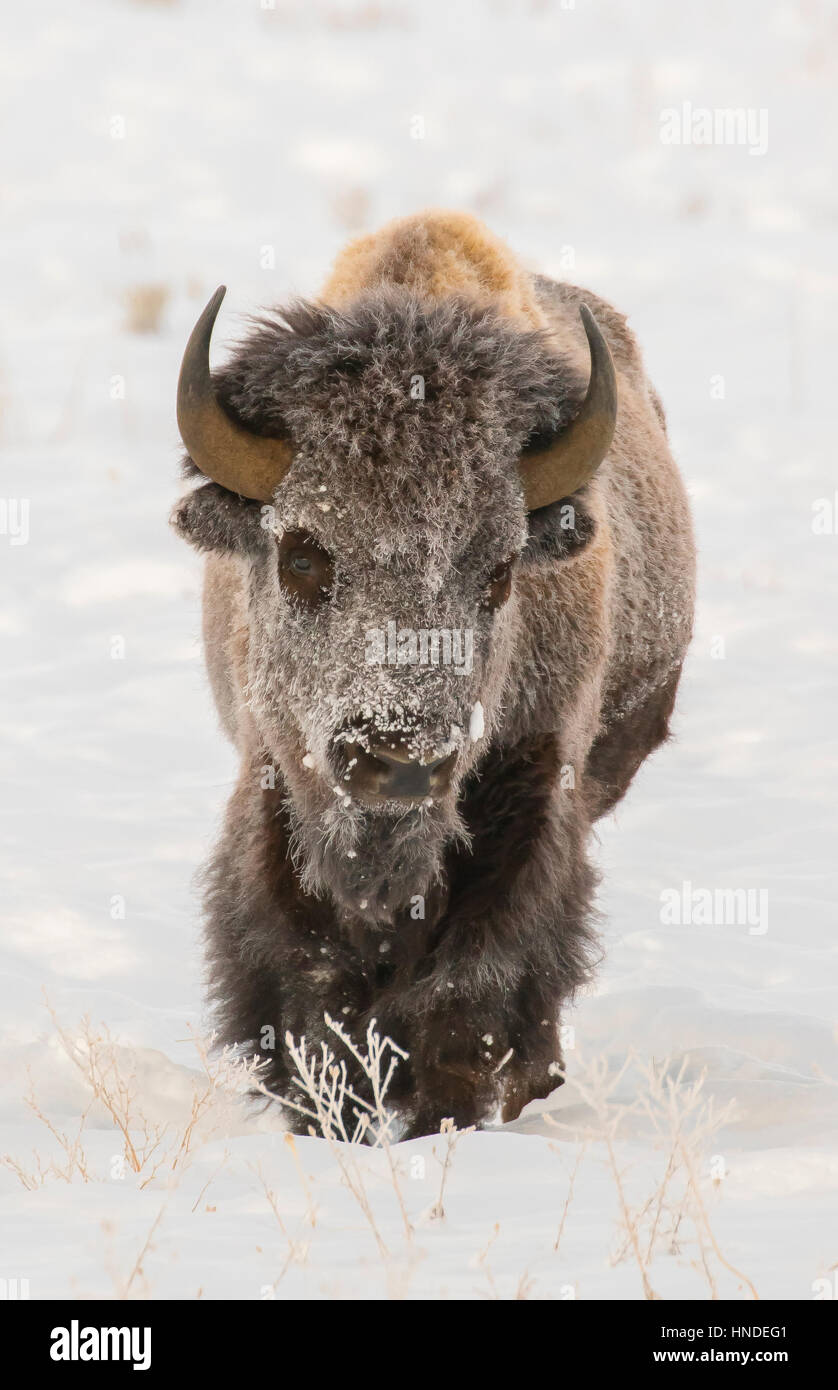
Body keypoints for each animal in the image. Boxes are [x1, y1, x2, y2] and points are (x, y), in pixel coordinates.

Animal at [172, 208, 694, 1139]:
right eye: (302, 556)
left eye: (500, 573)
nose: (401, 760)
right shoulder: (275, 781)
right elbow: (308, 983)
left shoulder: (532, 789)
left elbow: (473, 989)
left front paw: (450, 1115)